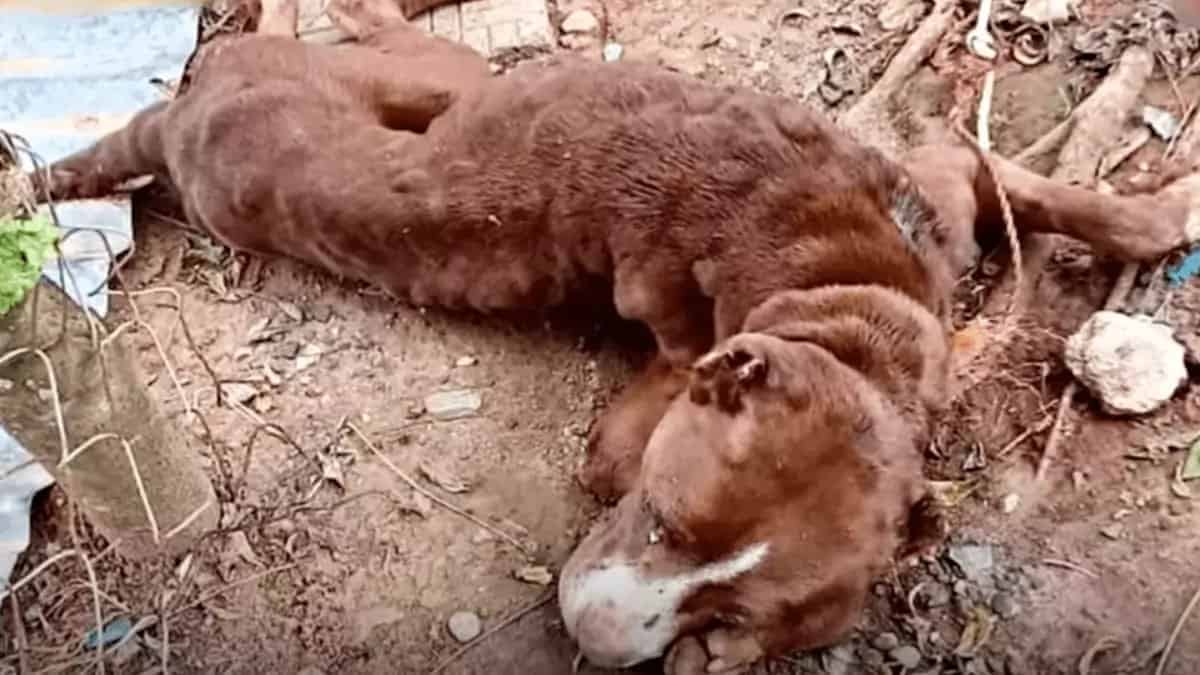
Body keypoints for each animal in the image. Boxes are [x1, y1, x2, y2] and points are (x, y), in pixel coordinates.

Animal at [32, 2, 1200, 667]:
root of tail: (181, 121)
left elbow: (1045, 192)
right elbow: (1024, 175)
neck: (852, 299)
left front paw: (1153, 219)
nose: (588, 641)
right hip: (438, 79)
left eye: (734, 614)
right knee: (364, 31)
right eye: (661, 516)